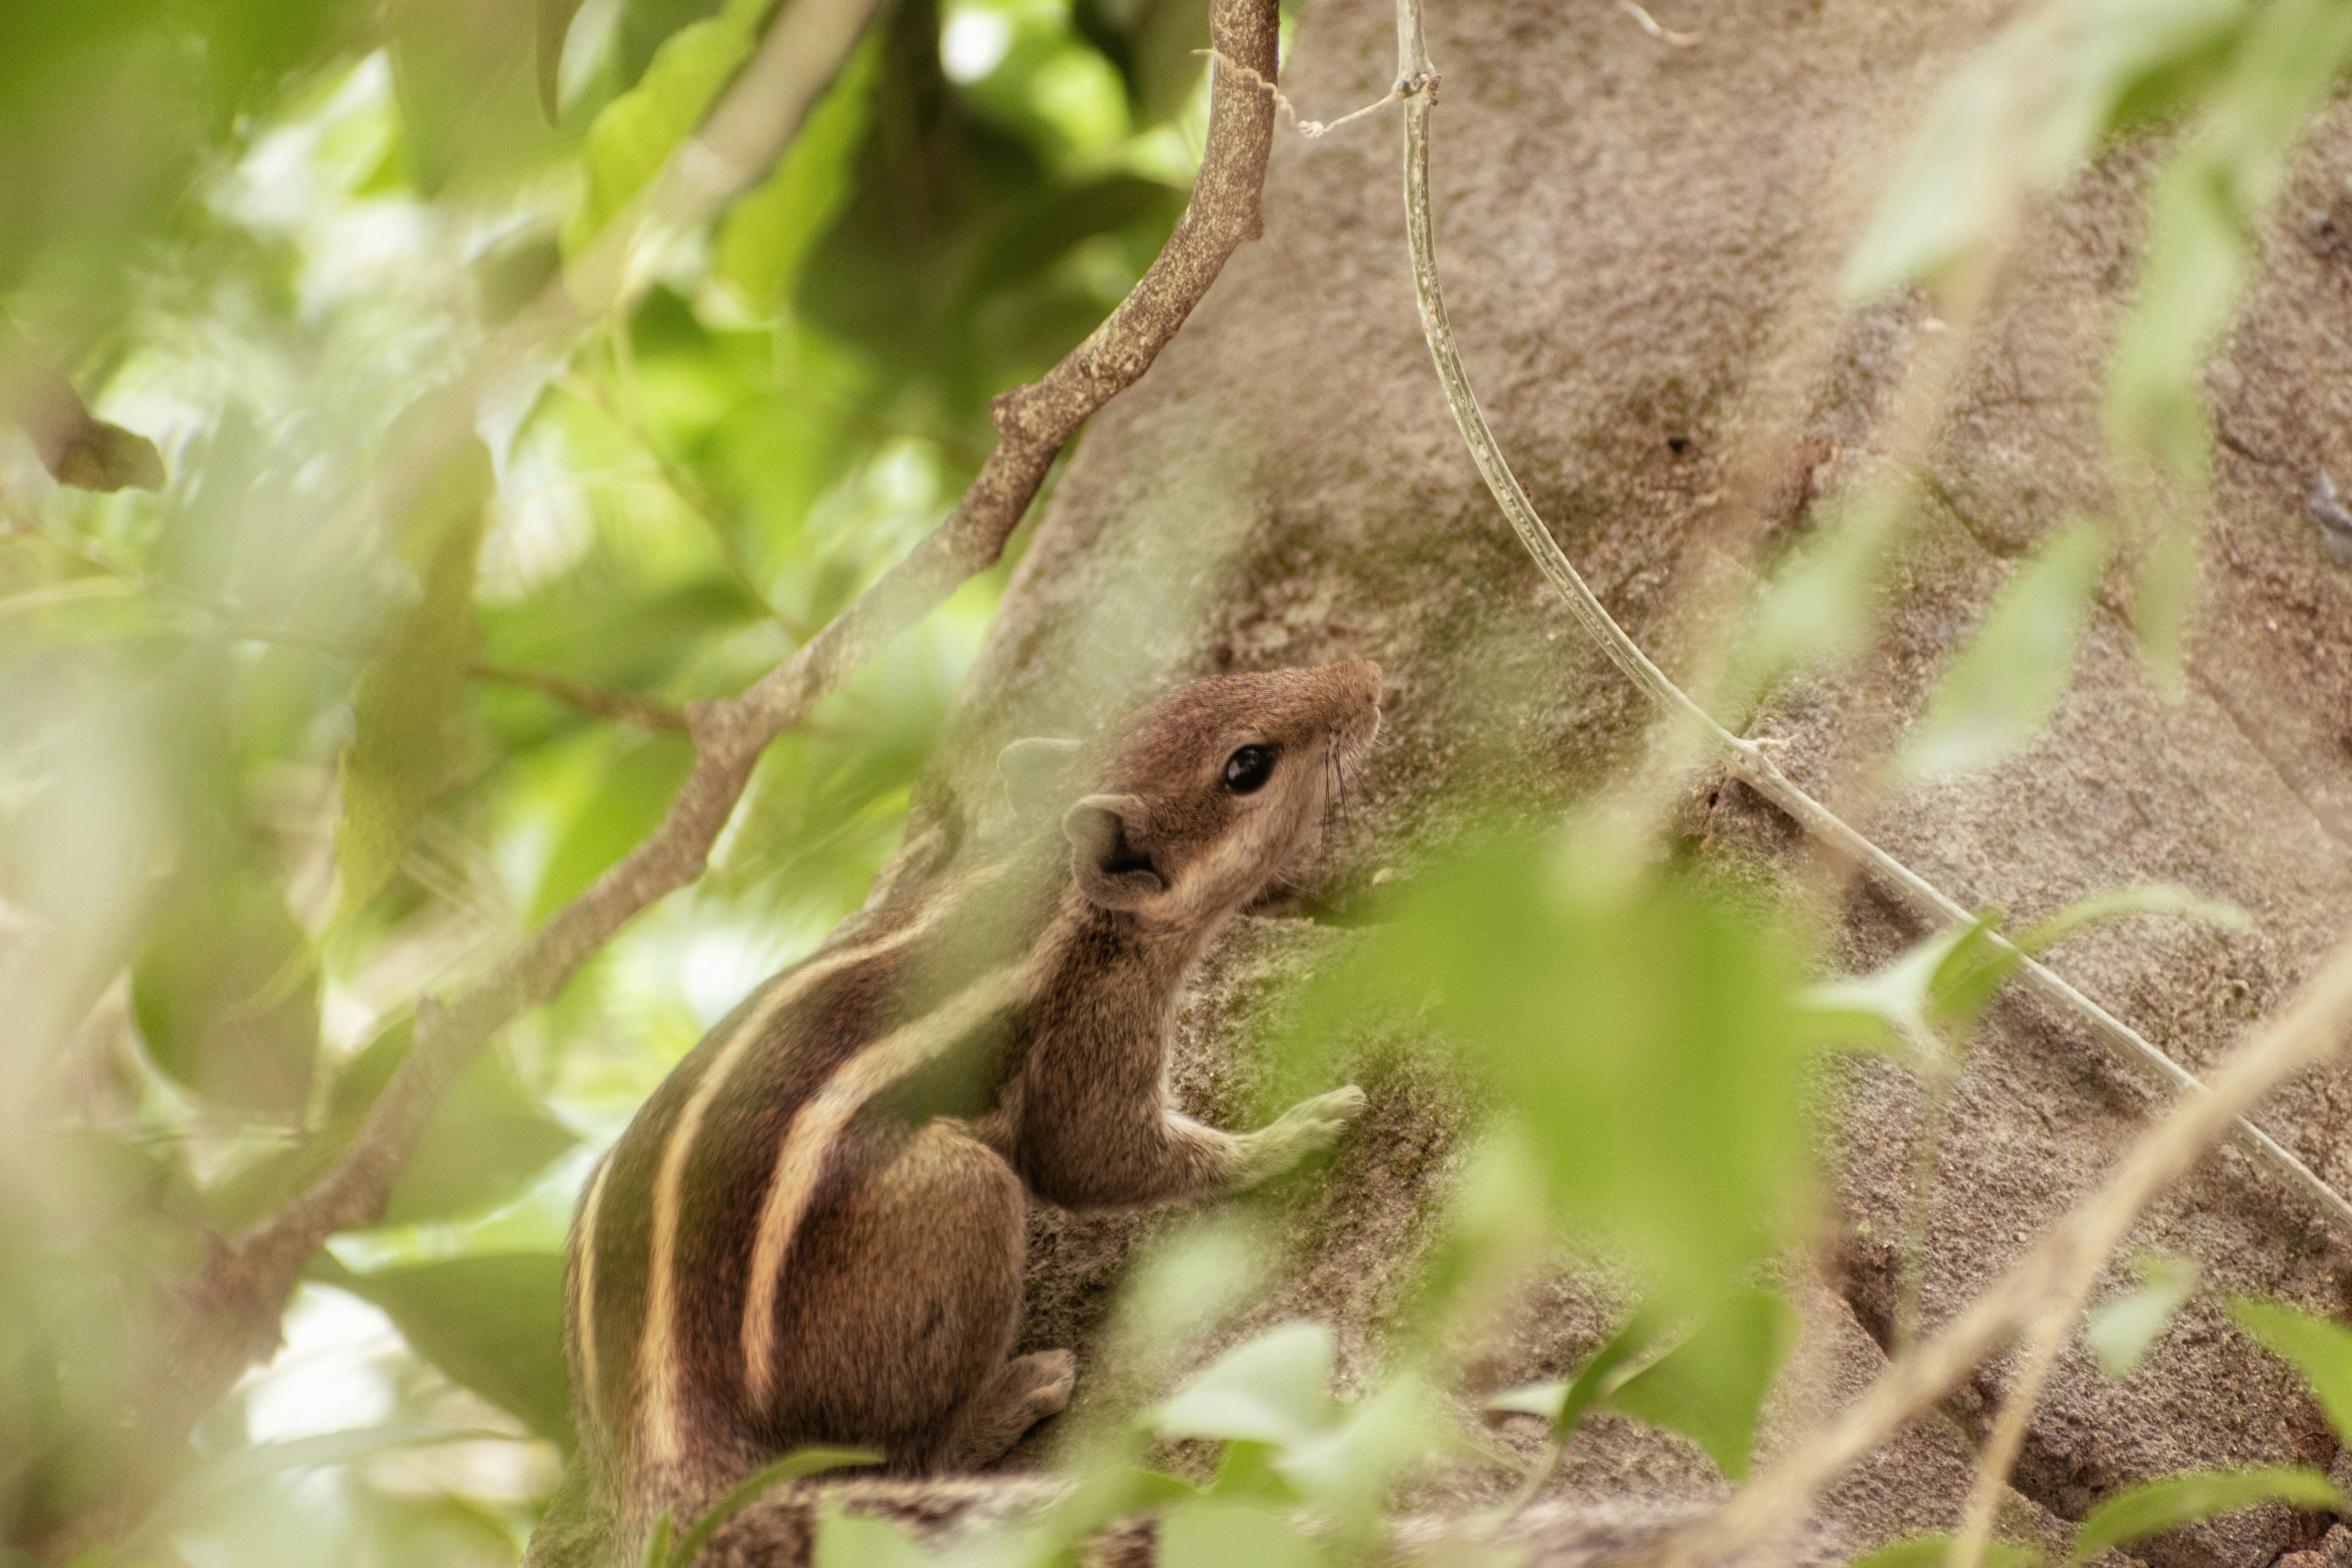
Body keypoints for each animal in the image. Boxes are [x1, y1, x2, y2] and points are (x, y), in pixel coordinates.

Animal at [526, 660, 1384, 1568]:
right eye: (1248, 765)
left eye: (1209, 684)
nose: (1365, 678)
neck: (1044, 886)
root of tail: (665, 1427)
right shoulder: (1095, 1023)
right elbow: (1097, 1156)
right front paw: (1297, 1131)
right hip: (956, 1203)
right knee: (903, 1455)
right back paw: (1011, 1398)